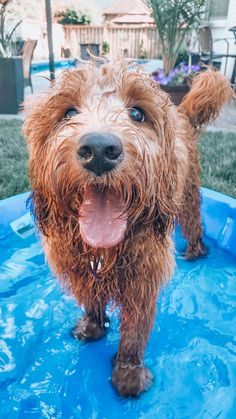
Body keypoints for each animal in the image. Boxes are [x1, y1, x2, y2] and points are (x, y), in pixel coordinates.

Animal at [23, 61, 233, 398]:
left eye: (137, 113)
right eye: (68, 112)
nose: (98, 149)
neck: (105, 250)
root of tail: (181, 113)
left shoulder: (143, 283)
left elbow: (134, 335)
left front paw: (128, 374)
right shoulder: (81, 270)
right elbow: (92, 299)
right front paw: (93, 326)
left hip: (188, 194)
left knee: (194, 222)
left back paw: (195, 250)